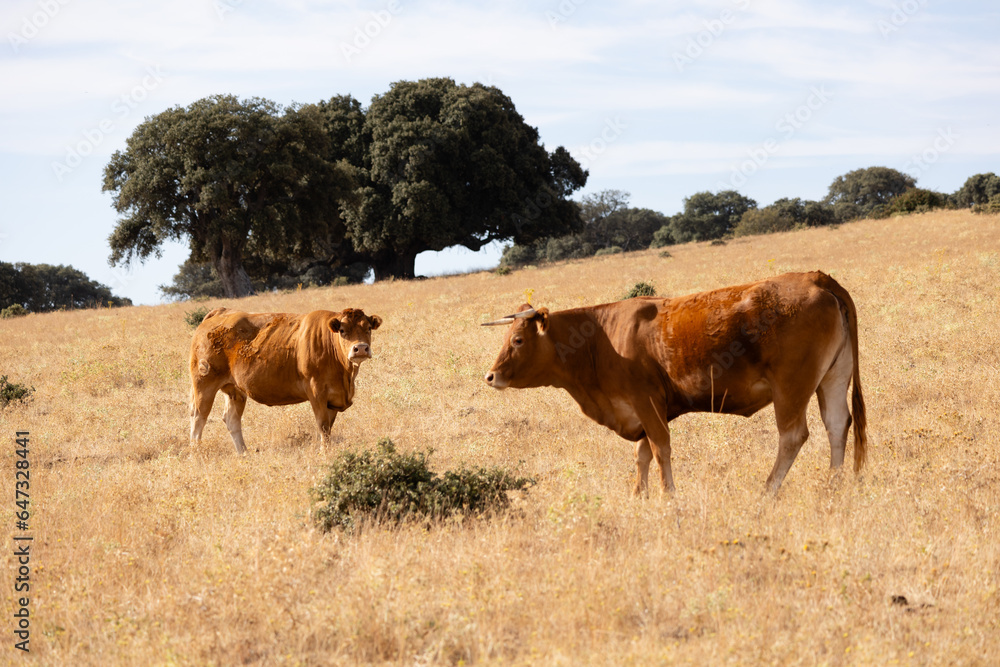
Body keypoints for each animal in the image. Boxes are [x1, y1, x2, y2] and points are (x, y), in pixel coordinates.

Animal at [189, 308, 380, 454]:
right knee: (198, 418)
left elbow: (329, 428)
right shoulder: (317, 392)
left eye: (368, 328)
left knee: (231, 419)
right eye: (342, 330)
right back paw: (196, 454)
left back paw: (243, 453)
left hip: (235, 390)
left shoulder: (333, 399)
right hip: (204, 384)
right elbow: (323, 426)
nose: (360, 348)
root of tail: (222, 312)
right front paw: (324, 453)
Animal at [484, 272, 868, 496]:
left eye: (518, 339)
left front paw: (668, 496)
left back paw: (768, 491)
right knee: (837, 425)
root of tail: (816, 279)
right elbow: (642, 455)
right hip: (833, 378)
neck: (601, 337)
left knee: (793, 436)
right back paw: (833, 486)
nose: (490, 376)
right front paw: (639, 496)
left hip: (790, 387)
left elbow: (659, 450)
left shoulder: (646, 401)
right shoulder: (650, 410)